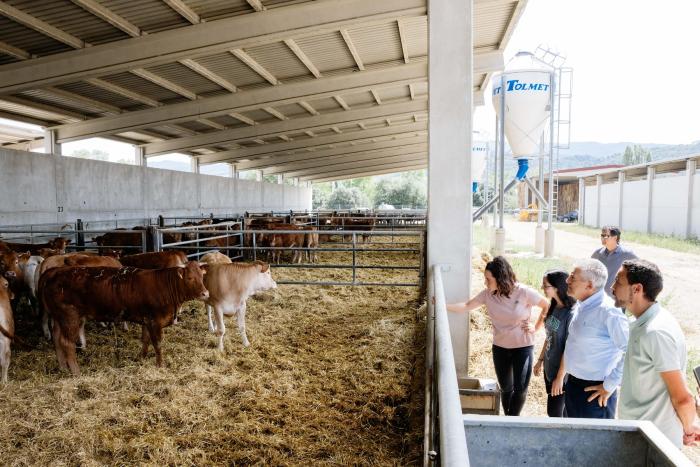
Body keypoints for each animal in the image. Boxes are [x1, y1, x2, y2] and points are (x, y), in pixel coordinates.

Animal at [40, 264, 208, 376]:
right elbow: (158, 344)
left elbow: (145, 340)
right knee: (67, 343)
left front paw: (141, 358)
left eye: (202, 276)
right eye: (190, 278)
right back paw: (76, 372)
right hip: (70, 317)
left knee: (56, 339)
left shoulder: (147, 320)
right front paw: (160, 365)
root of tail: (55, 271)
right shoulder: (155, 321)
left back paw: (62, 367)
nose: (205, 293)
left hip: (58, 318)